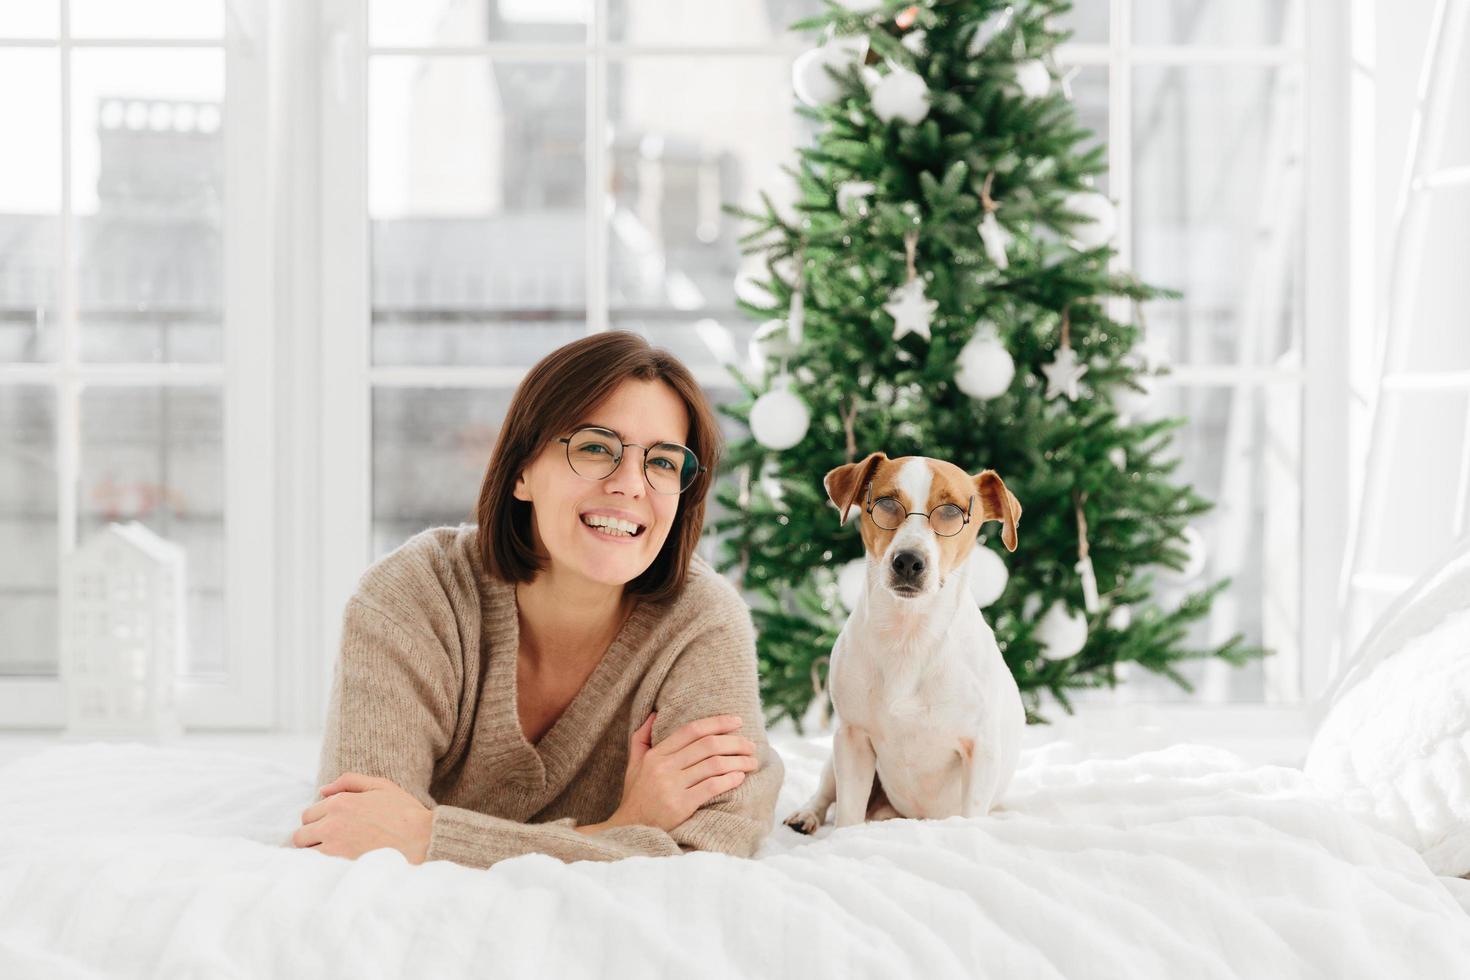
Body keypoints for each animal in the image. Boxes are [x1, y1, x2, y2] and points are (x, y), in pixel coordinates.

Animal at [787, 455, 1029, 834]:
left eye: (951, 511)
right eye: (887, 503)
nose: (908, 561)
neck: (908, 634)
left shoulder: (981, 749)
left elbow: (972, 811)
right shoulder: (853, 738)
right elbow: (847, 813)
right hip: (834, 756)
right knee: (826, 793)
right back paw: (806, 814)